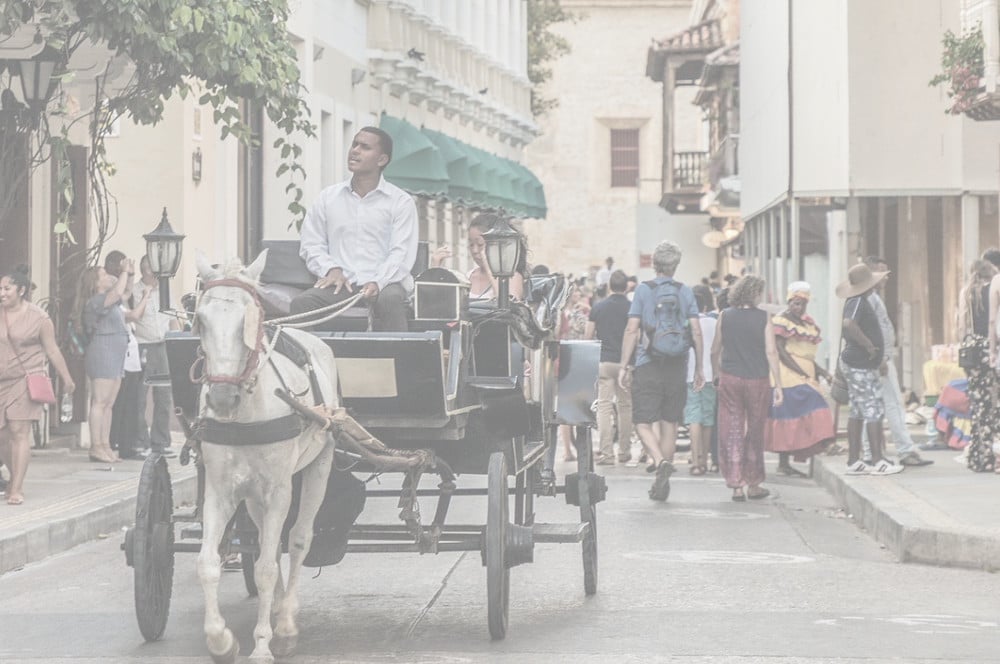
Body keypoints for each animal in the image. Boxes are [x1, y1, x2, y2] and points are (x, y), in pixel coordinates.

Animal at [193, 250, 338, 664]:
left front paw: (263, 644)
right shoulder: (221, 491)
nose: (222, 399)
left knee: (299, 538)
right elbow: (209, 563)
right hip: (254, 495)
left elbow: (267, 570)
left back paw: (285, 621)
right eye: (201, 319)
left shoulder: (278, 491)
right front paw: (221, 640)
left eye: (251, 319)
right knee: (265, 544)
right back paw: (274, 610)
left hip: (320, 465)